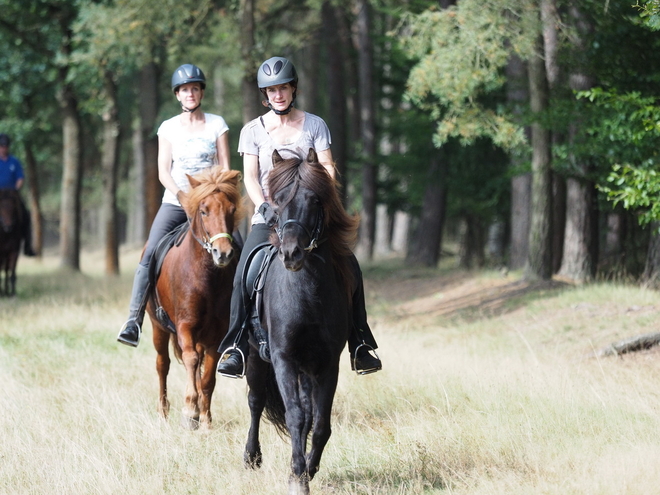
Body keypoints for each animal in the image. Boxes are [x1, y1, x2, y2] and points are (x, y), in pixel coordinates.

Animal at [146, 168, 244, 430]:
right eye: (204, 210)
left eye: (232, 210)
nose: (223, 253)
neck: (205, 277)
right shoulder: (185, 326)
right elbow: (190, 360)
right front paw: (189, 411)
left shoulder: (216, 335)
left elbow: (208, 376)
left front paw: (206, 420)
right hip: (158, 327)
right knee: (162, 364)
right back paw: (163, 413)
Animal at [245, 148, 360, 495]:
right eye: (278, 201)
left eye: (314, 200)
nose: (291, 254)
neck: (307, 294)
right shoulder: (283, 358)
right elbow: (295, 416)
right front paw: (297, 476)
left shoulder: (327, 363)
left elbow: (319, 423)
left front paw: (308, 469)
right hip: (255, 355)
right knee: (255, 401)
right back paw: (251, 457)